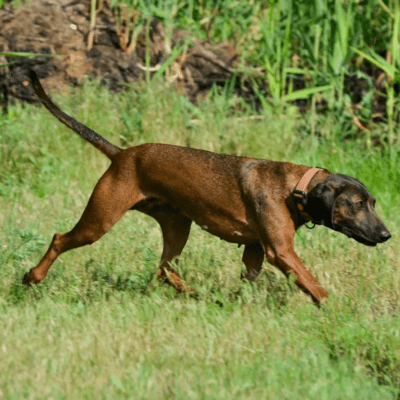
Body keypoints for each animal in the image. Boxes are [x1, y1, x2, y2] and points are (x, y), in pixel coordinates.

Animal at [24, 70, 390, 304]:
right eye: (357, 204)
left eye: (372, 201)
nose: (387, 235)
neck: (296, 186)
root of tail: (122, 154)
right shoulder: (281, 251)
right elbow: (314, 285)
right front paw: (338, 311)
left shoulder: (255, 249)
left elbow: (250, 280)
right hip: (100, 218)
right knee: (59, 239)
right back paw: (32, 277)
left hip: (177, 225)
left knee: (163, 268)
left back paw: (191, 293)